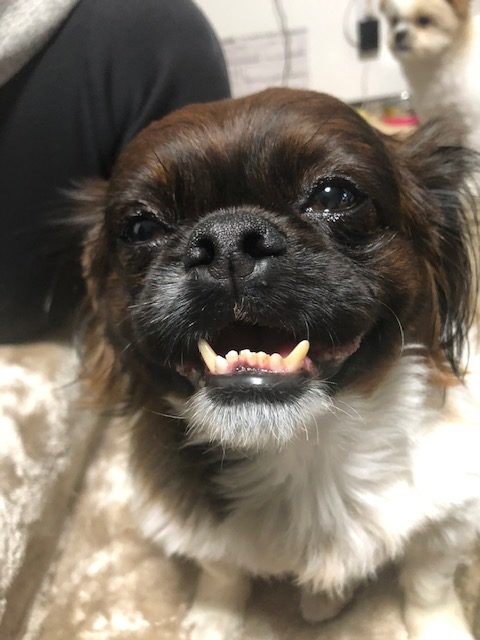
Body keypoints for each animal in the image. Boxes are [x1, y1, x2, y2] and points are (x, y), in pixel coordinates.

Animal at [79, 88, 480, 640]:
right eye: (140, 227)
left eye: (336, 196)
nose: (227, 238)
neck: (301, 448)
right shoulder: (201, 531)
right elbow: (221, 572)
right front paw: (212, 619)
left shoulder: (449, 518)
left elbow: (428, 585)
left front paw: (440, 628)